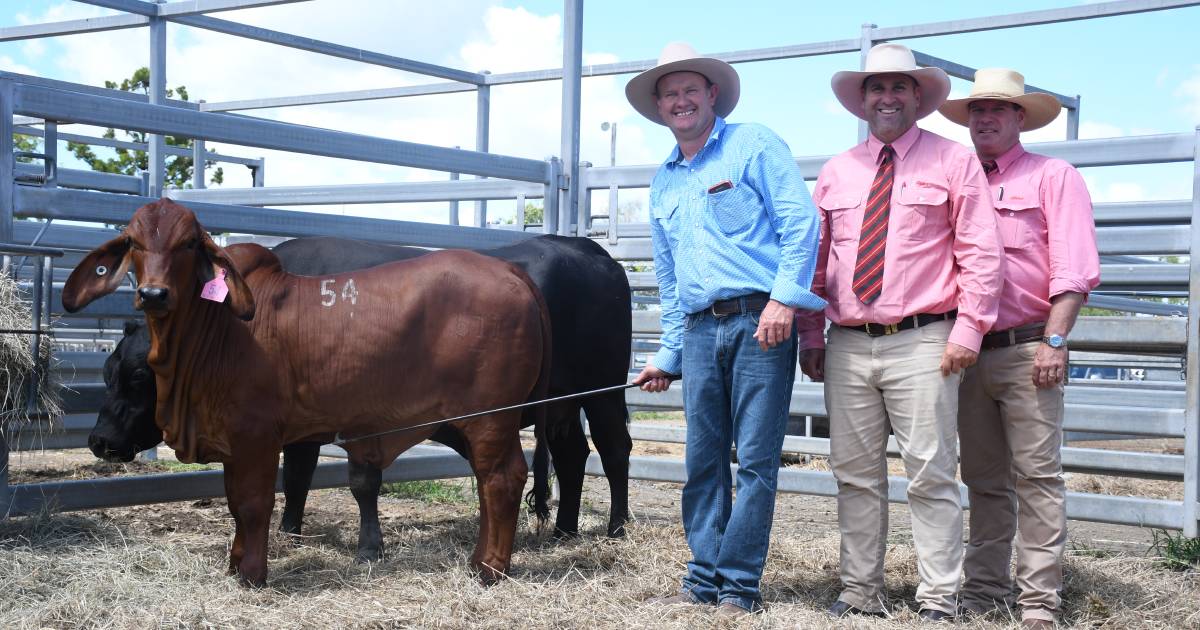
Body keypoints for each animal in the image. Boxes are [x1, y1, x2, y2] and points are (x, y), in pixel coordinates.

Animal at [60, 198, 549, 585]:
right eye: (134, 243)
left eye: (188, 244)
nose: (153, 294)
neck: (216, 329)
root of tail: (510, 271)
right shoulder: (237, 440)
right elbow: (237, 501)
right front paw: (236, 564)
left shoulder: (257, 434)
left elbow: (254, 502)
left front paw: (253, 574)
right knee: (492, 483)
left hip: (490, 417)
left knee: (501, 479)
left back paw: (489, 568)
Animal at [87, 232, 633, 537]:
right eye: (107, 371)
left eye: (139, 376)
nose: (98, 441)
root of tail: (583, 247)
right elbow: (299, 473)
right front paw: (290, 529)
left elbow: (313, 471)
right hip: (564, 405)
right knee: (573, 454)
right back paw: (564, 530)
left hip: (604, 390)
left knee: (613, 448)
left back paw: (616, 527)